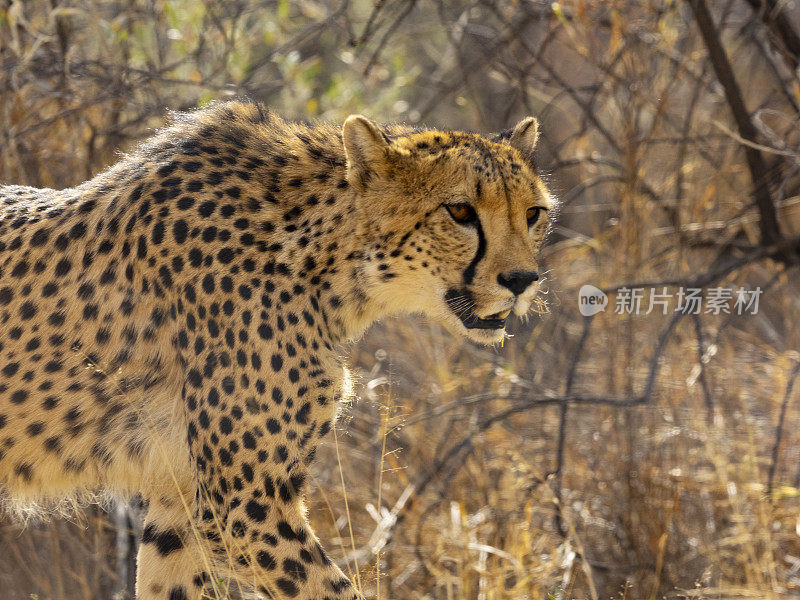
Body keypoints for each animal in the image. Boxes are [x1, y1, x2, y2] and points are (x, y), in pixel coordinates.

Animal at [0, 101, 552, 596]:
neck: (323, 258)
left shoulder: (180, 503)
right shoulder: (244, 509)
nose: (522, 280)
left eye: (534, 213)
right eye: (459, 211)